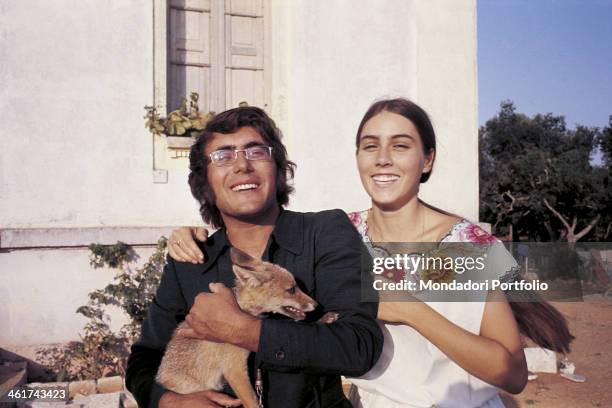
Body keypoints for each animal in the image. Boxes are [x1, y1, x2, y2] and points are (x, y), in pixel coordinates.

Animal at [155, 247, 320, 408]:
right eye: (291, 290)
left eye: (297, 287)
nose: (317, 305)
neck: (243, 308)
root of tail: (160, 377)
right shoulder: (234, 370)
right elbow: (253, 403)